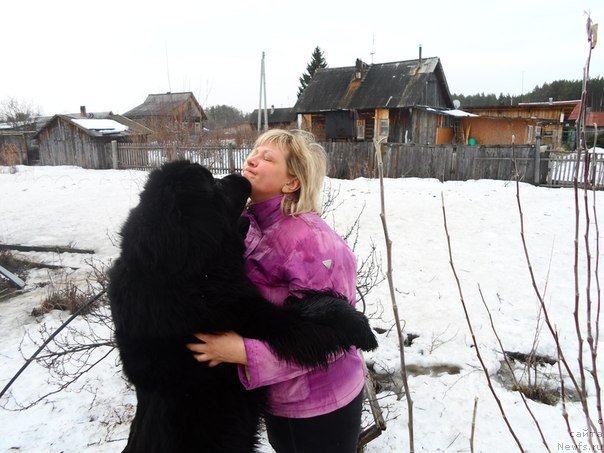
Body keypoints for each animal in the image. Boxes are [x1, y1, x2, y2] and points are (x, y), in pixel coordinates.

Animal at [106, 162, 376, 452]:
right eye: (212, 184)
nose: (243, 173)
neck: (179, 270)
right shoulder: (259, 317)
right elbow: (312, 315)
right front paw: (360, 327)